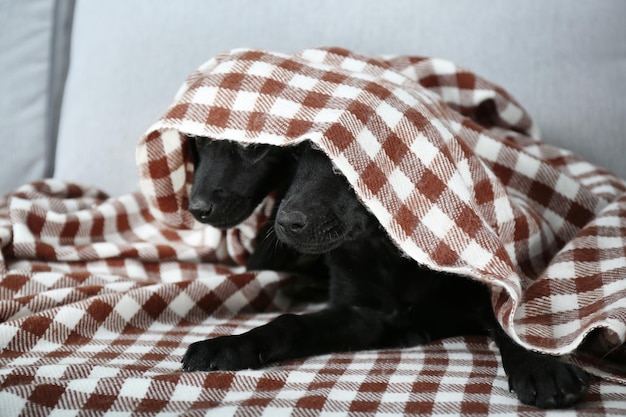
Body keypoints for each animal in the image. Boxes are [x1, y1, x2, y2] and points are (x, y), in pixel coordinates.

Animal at [182, 143, 588, 406]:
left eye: (345, 164)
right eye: (294, 155)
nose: (285, 224)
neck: (388, 251)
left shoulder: (487, 279)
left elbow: (509, 321)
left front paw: (540, 366)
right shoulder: (365, 315)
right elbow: (291, 323)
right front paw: (230, 345)